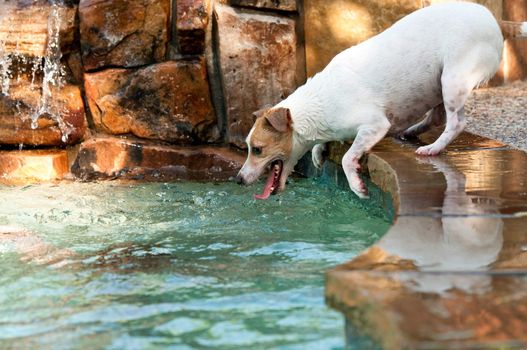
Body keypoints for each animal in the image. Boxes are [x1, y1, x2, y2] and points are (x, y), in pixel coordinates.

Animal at [238, 2, 527, 198]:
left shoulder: (374, 125)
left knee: (456, 122)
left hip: (453, 79)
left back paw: (433, 147)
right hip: (438, 84)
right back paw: (411, 132)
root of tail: (493, 19)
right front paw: (320, 152)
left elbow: (347, 158)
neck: (318, 104)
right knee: (438, 116)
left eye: (257, 149)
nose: (239, 179)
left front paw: (357, 185)